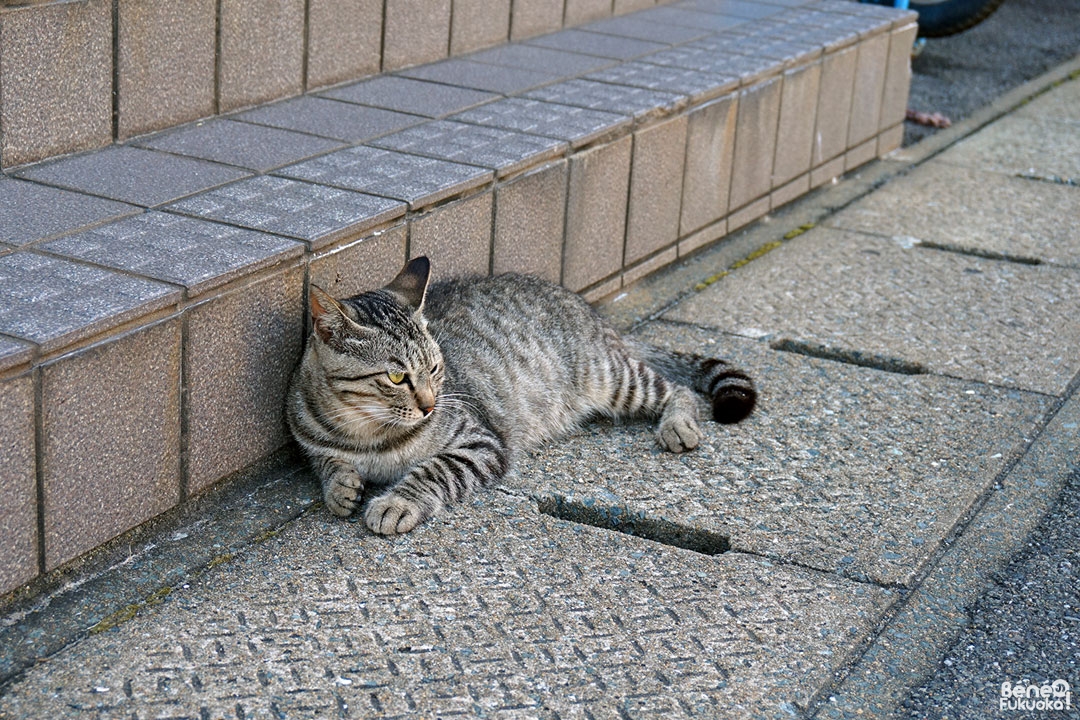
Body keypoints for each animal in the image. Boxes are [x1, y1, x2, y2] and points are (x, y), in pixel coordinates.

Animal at [289, 259, 760, 535]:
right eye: (396, 375)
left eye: (436, 369)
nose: (430, 405)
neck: (365, 433)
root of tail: (595, 315)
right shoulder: (309, 441)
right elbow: (325, 462)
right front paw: (340, 486)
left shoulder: (480, 441)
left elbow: (433, 471)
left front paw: (396, 502)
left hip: (609, 376)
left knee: (677, 389)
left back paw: (679, 424)